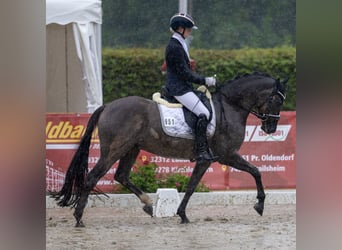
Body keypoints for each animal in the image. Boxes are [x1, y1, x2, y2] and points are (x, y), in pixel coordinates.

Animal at [52, 71, 288, 227]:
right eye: (277, 100)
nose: (270, 128)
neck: (229, 107)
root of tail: (108, 106)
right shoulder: (225, 156)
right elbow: (255, 171)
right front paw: (259, 205)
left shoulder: (211, 159)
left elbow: (192, 186)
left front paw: (181, 214)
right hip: (114, 150)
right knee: (93, 177)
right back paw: (79, 218)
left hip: (131, 149)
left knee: (121, 176)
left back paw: (148, 205)